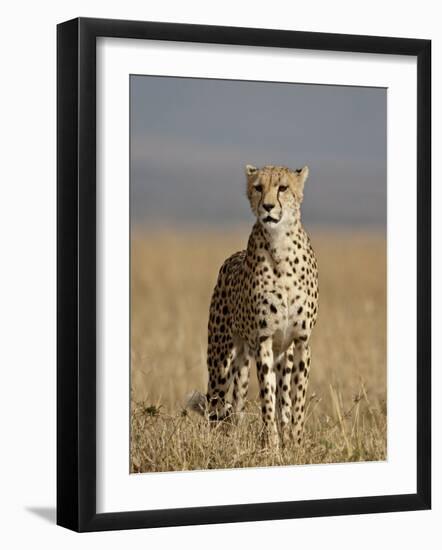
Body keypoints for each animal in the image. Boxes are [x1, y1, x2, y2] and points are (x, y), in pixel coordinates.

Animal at [201, 165, 318, 448]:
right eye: (258, 187)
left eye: (283, 188)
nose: (267, 207)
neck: (281, 248)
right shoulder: (263, 340)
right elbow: (267, 397)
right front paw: (272, 447)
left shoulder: (301, 341)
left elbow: (296, 401)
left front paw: (295, 444)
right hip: (221, 357)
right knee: (217, 404)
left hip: (278, 356)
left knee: (273, 400)